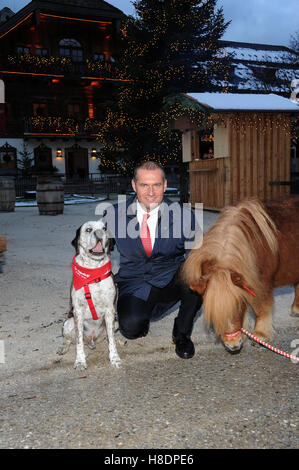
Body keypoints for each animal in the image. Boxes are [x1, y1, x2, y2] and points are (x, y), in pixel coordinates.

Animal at [58, 220, 121, 370]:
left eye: (104, 228)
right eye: (88, 229)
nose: (99, 233)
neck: (93, 273)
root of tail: (91, 341)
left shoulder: (110, 311)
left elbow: (111, 340)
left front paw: (114, 358)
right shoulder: (78, 312)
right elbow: (79, 341)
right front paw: (80, 361)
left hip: (116, 322)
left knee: (110, 336)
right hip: (68, 322)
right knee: (69, 339)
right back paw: (64, 348)